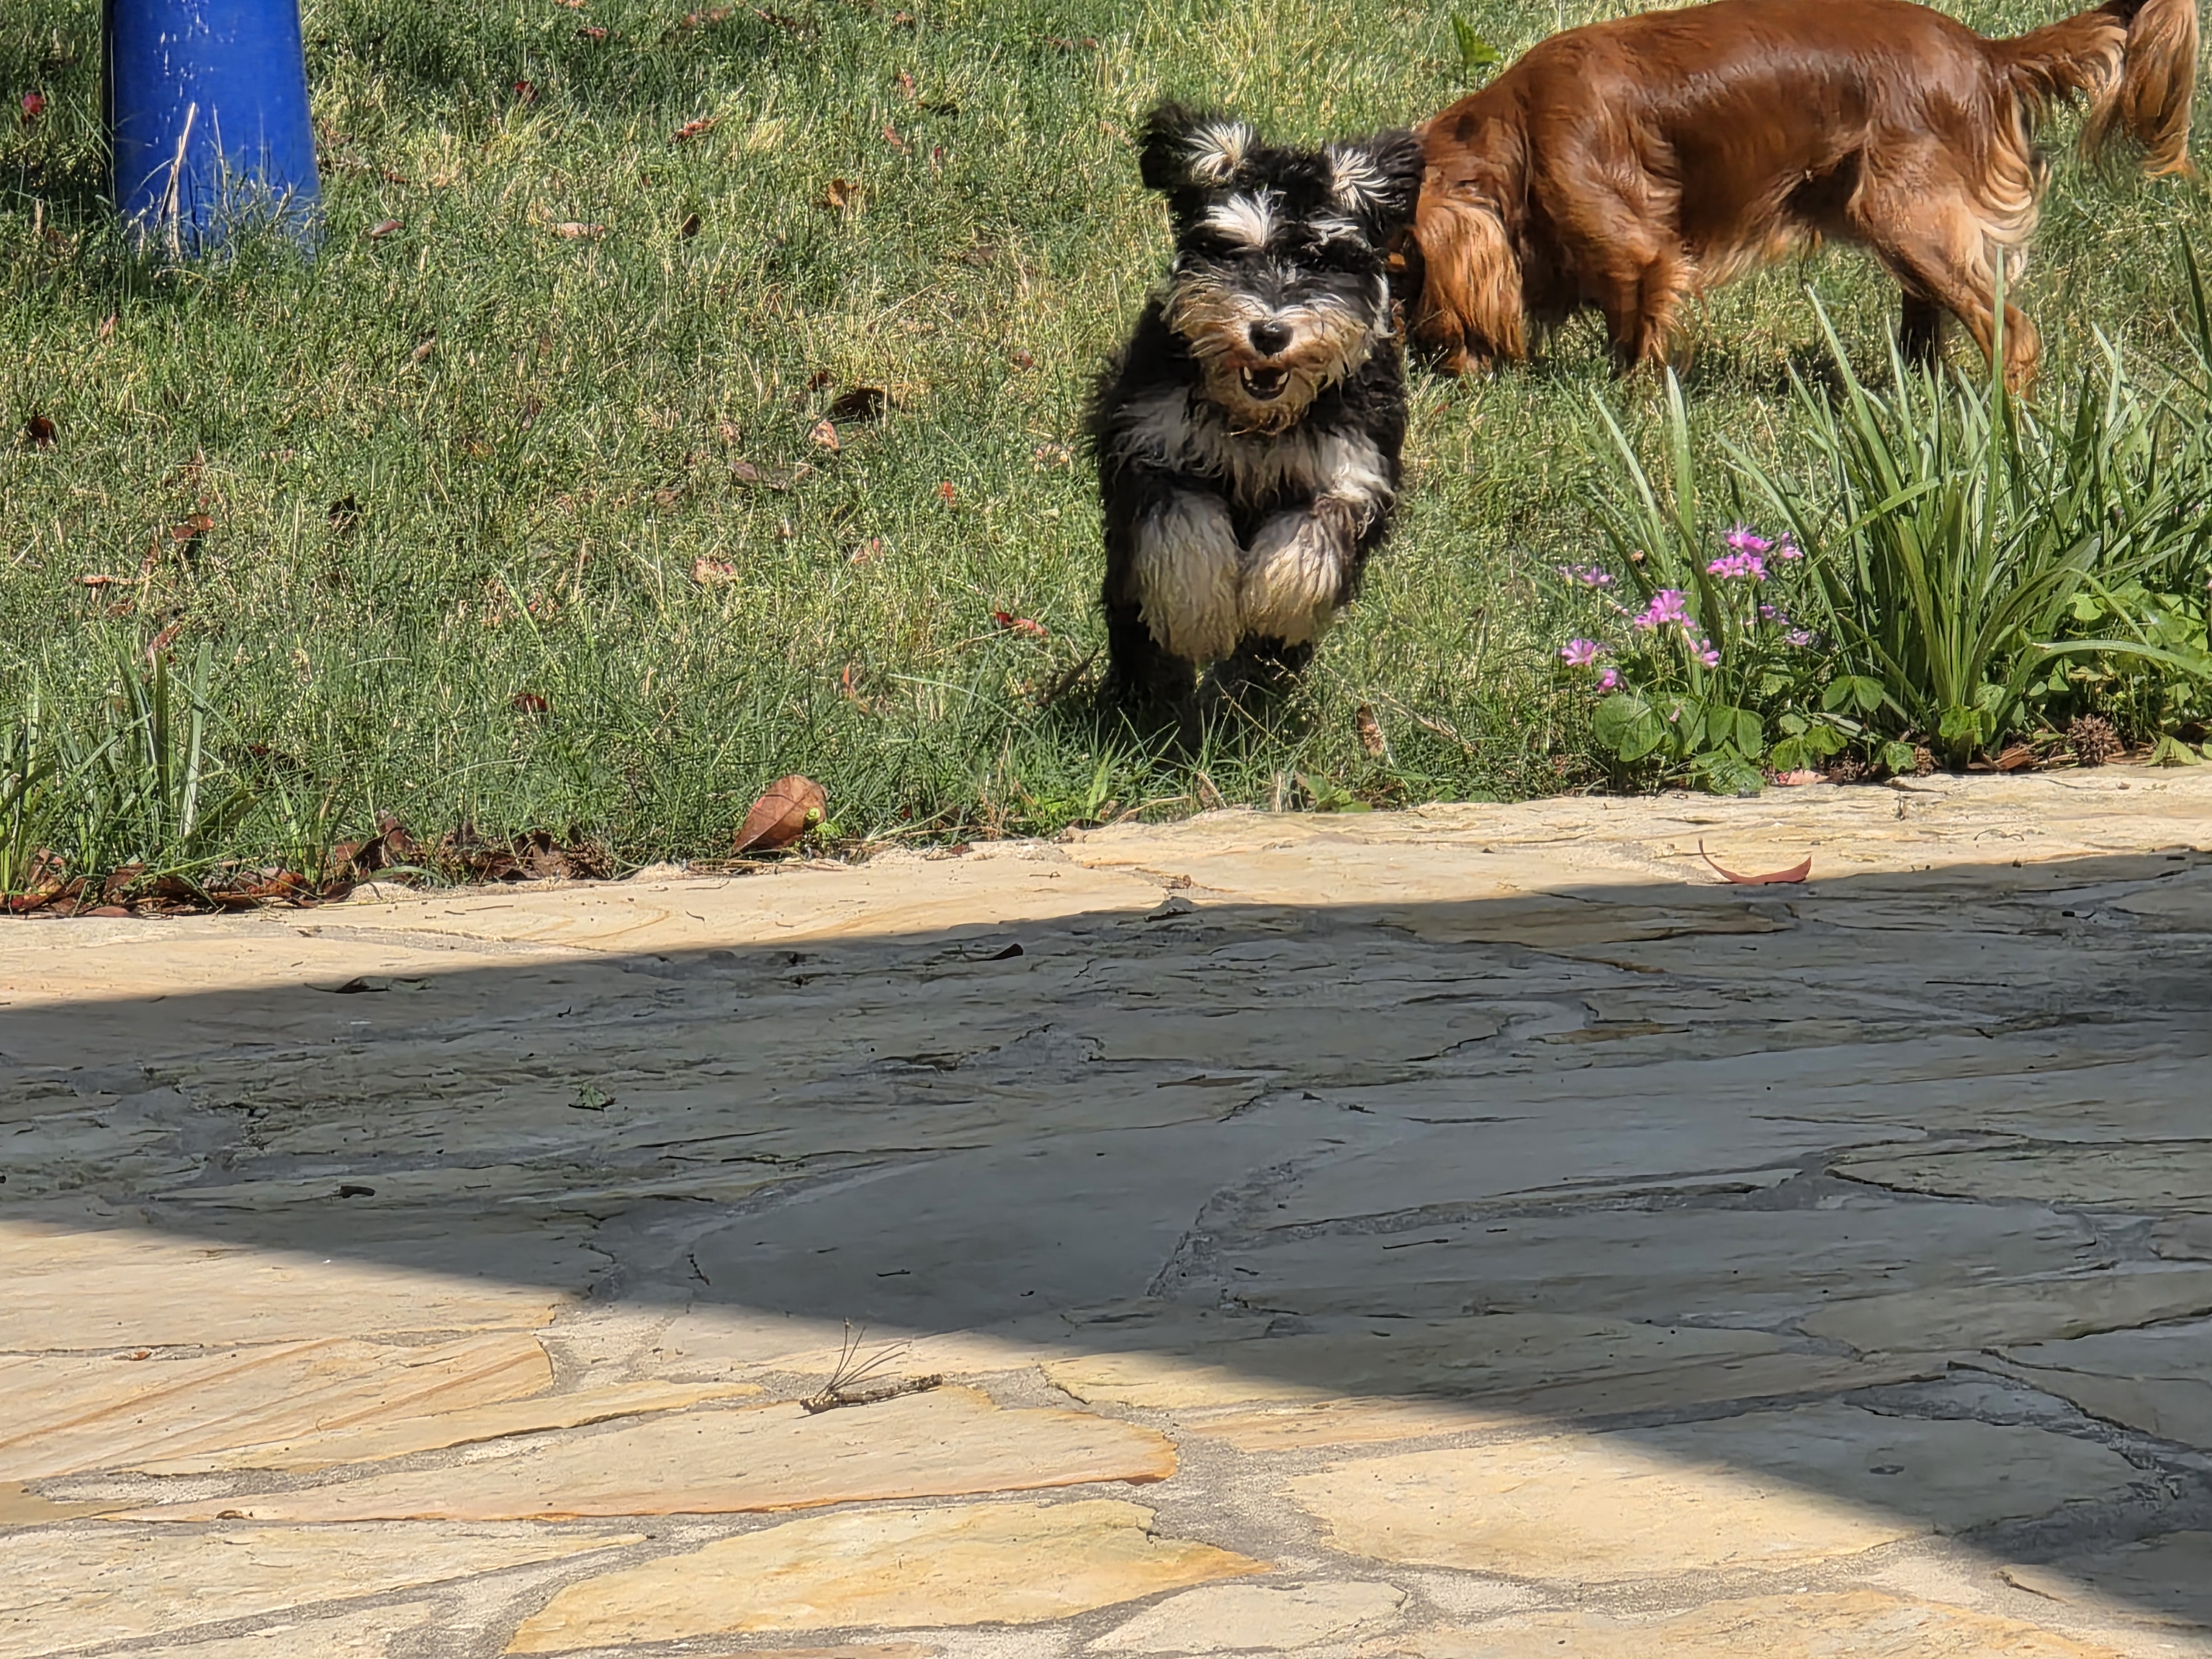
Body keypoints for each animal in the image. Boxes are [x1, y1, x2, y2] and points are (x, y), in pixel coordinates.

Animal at [1089, 105, 1424, 733]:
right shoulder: (1154, 448)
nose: (1269, 332)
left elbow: (1307, 542)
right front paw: (1201, 617)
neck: (1260, 420)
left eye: (1321, 258)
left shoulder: (1350, 472)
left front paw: (1271, 604)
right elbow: (1184, 536)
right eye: (1233, 249)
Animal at [1404, 0, 2199, 386]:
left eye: (1399, 268)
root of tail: (1986, 54)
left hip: (1909, 217)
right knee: (1928, 319)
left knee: (2013, 335)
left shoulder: (1641, 254)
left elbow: (1637, 335)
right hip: (1894, 223)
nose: (1417, 363)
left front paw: (1631, 408)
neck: (1517, 134)